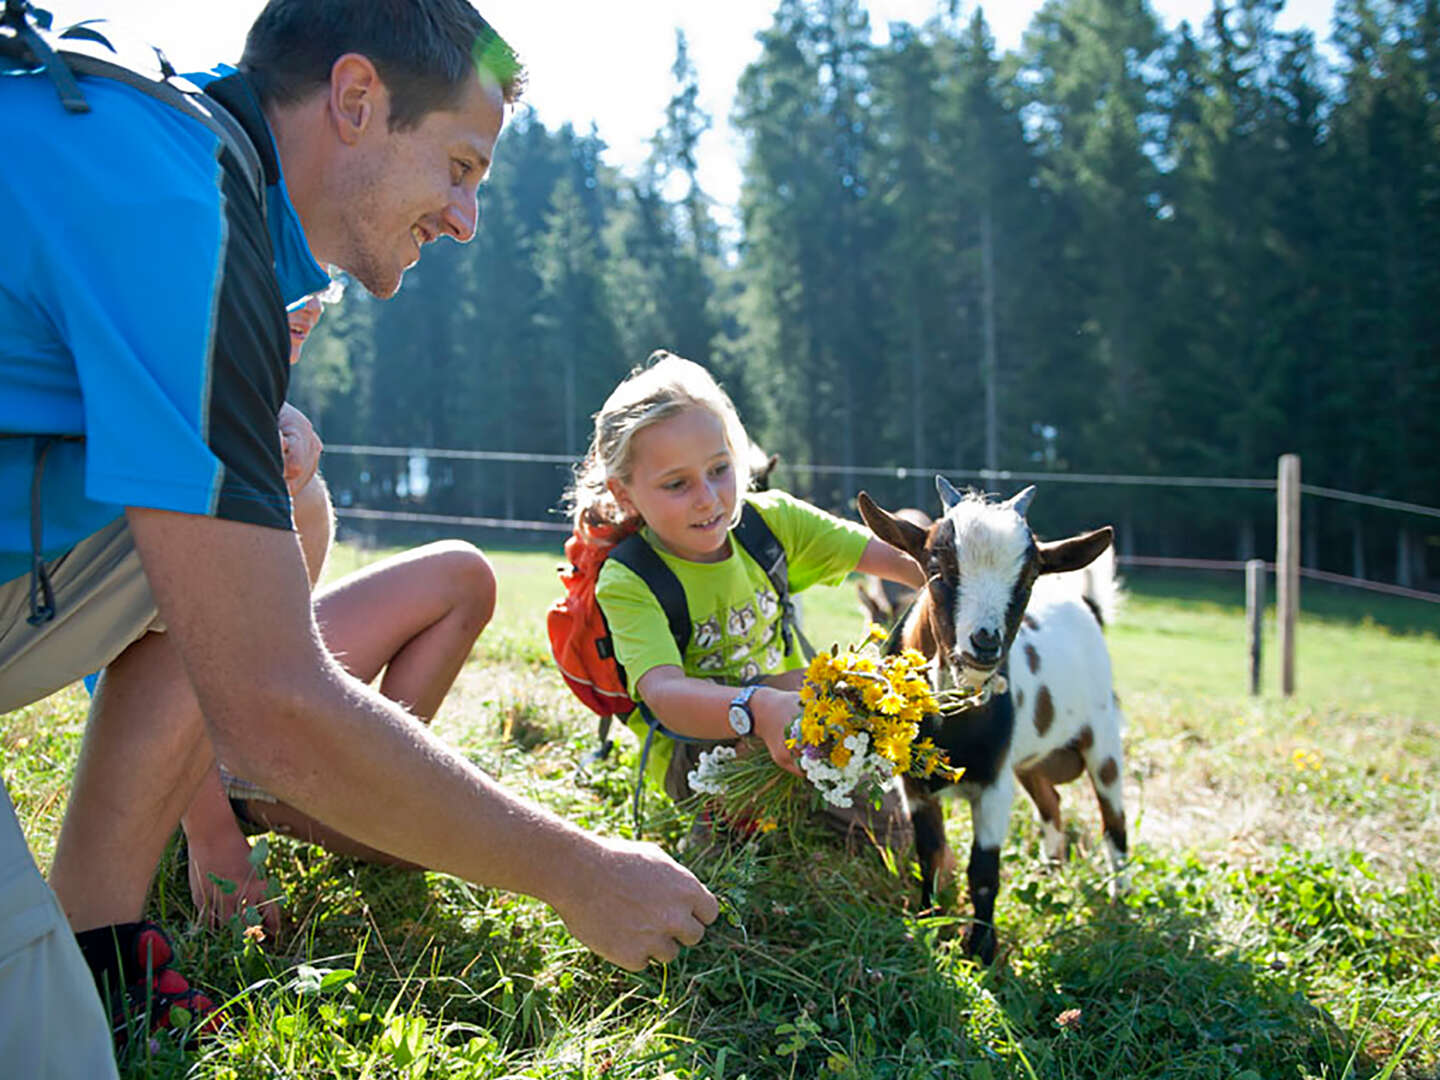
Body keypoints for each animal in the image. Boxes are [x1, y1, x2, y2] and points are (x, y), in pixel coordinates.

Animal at [852, 478, 1123, 967]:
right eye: (936, 567)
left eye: (1030, 576)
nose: (984, 642)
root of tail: (1086, 607)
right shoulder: (915, 786)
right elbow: (931, 853)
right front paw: (928, 923)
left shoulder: (995, 784)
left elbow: (983, 869)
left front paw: (980, 949)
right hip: (1030, 760)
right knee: (1052, 804)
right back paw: (1051, 877)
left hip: (1103, 738)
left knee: (1115, 826)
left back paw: (1120, 907)